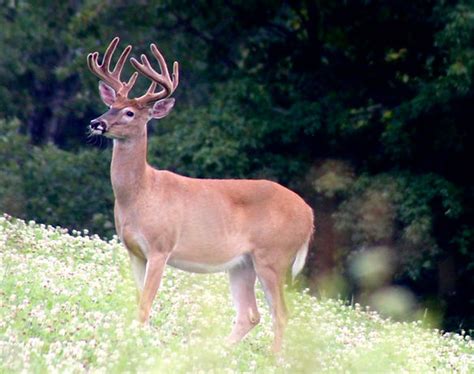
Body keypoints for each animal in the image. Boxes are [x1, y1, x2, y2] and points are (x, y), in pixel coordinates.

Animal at [88, 36, 314, 352]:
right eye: (110, 104)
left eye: (129, 112)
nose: (97, 123)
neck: (140, 194)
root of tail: (310, 214)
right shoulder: (133, 251)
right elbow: (138, 299)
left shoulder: (161, 246)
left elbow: (146, 303)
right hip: (243, 263)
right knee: (250, 314)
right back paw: (218, 351)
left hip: (274, 255)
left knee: (280, 313)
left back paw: (273, 357)